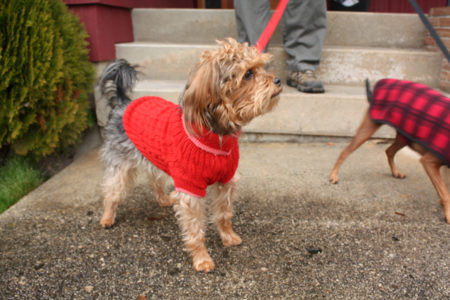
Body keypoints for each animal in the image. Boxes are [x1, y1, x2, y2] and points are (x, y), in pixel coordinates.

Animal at [97, 38, 282, 272]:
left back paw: (164, 199)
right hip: (120, 163)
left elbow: (224, 214)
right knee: (112, 190)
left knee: (154, 178)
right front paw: (202, 258)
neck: (217, 136)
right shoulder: (190, 188)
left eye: (262, 67)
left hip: (154, 157)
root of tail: (123, 103)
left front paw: (228, 237)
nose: (278, 80)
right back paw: (107, 217)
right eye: (248, 74)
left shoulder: (227, 181)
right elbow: (195, 230)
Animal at [328, 78, 448, 224]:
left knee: (389, 151)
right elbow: (445, 194)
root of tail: (382, 82)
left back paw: (396, 172)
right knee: (344, 152)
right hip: (368, 129)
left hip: (404, 136)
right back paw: (334, 175)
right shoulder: (429, 161)